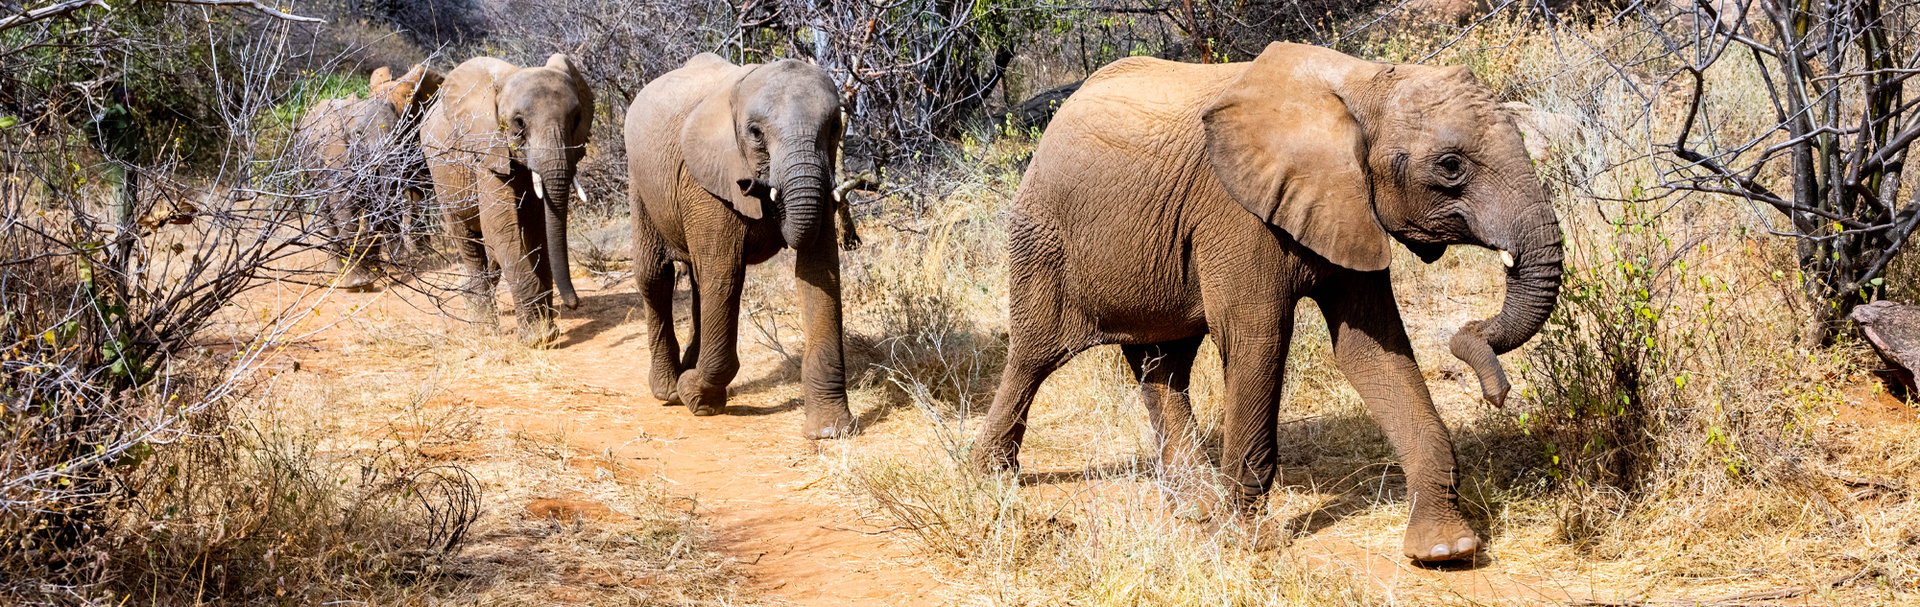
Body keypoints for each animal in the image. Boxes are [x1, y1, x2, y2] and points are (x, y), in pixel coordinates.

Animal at [295, 63, 442, 289]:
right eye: (359, 135)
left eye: (399, 133)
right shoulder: (335, 151)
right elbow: (344, 203)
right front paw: (358, 282)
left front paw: (374, 270)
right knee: (326, 208)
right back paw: (337, 270)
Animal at [420, 54, 593, 346]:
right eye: (519, 123)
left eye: (576, 119)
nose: (574, 303)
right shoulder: (487, 150)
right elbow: (501, 229)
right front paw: (538, 339)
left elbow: (536, 230)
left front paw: (546, 332)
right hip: (441, 179)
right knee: (466, 238)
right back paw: (483, 329)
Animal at [624, 54, 856, 439]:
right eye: (756, 133)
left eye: (835, 128)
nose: (749, 185)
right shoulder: (705, 180)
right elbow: (725, 275)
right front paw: (696, 400)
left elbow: (819, 274)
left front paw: (829, 431)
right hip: (640, 182)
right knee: (657, 276)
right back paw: (669, 391)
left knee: (699, 282)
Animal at [969, 42, 1564, 563]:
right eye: (1450, 166)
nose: (1496, 395)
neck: (1361, 83)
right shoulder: (1237, 211)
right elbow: (1259, 340)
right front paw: (1248, 542)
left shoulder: (1347, 204)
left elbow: (1372, 351)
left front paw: (1445, 551)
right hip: (1041, 235)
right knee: (1034, 355)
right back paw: (989, 476)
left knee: (1164, 365)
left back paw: (1195, 507)